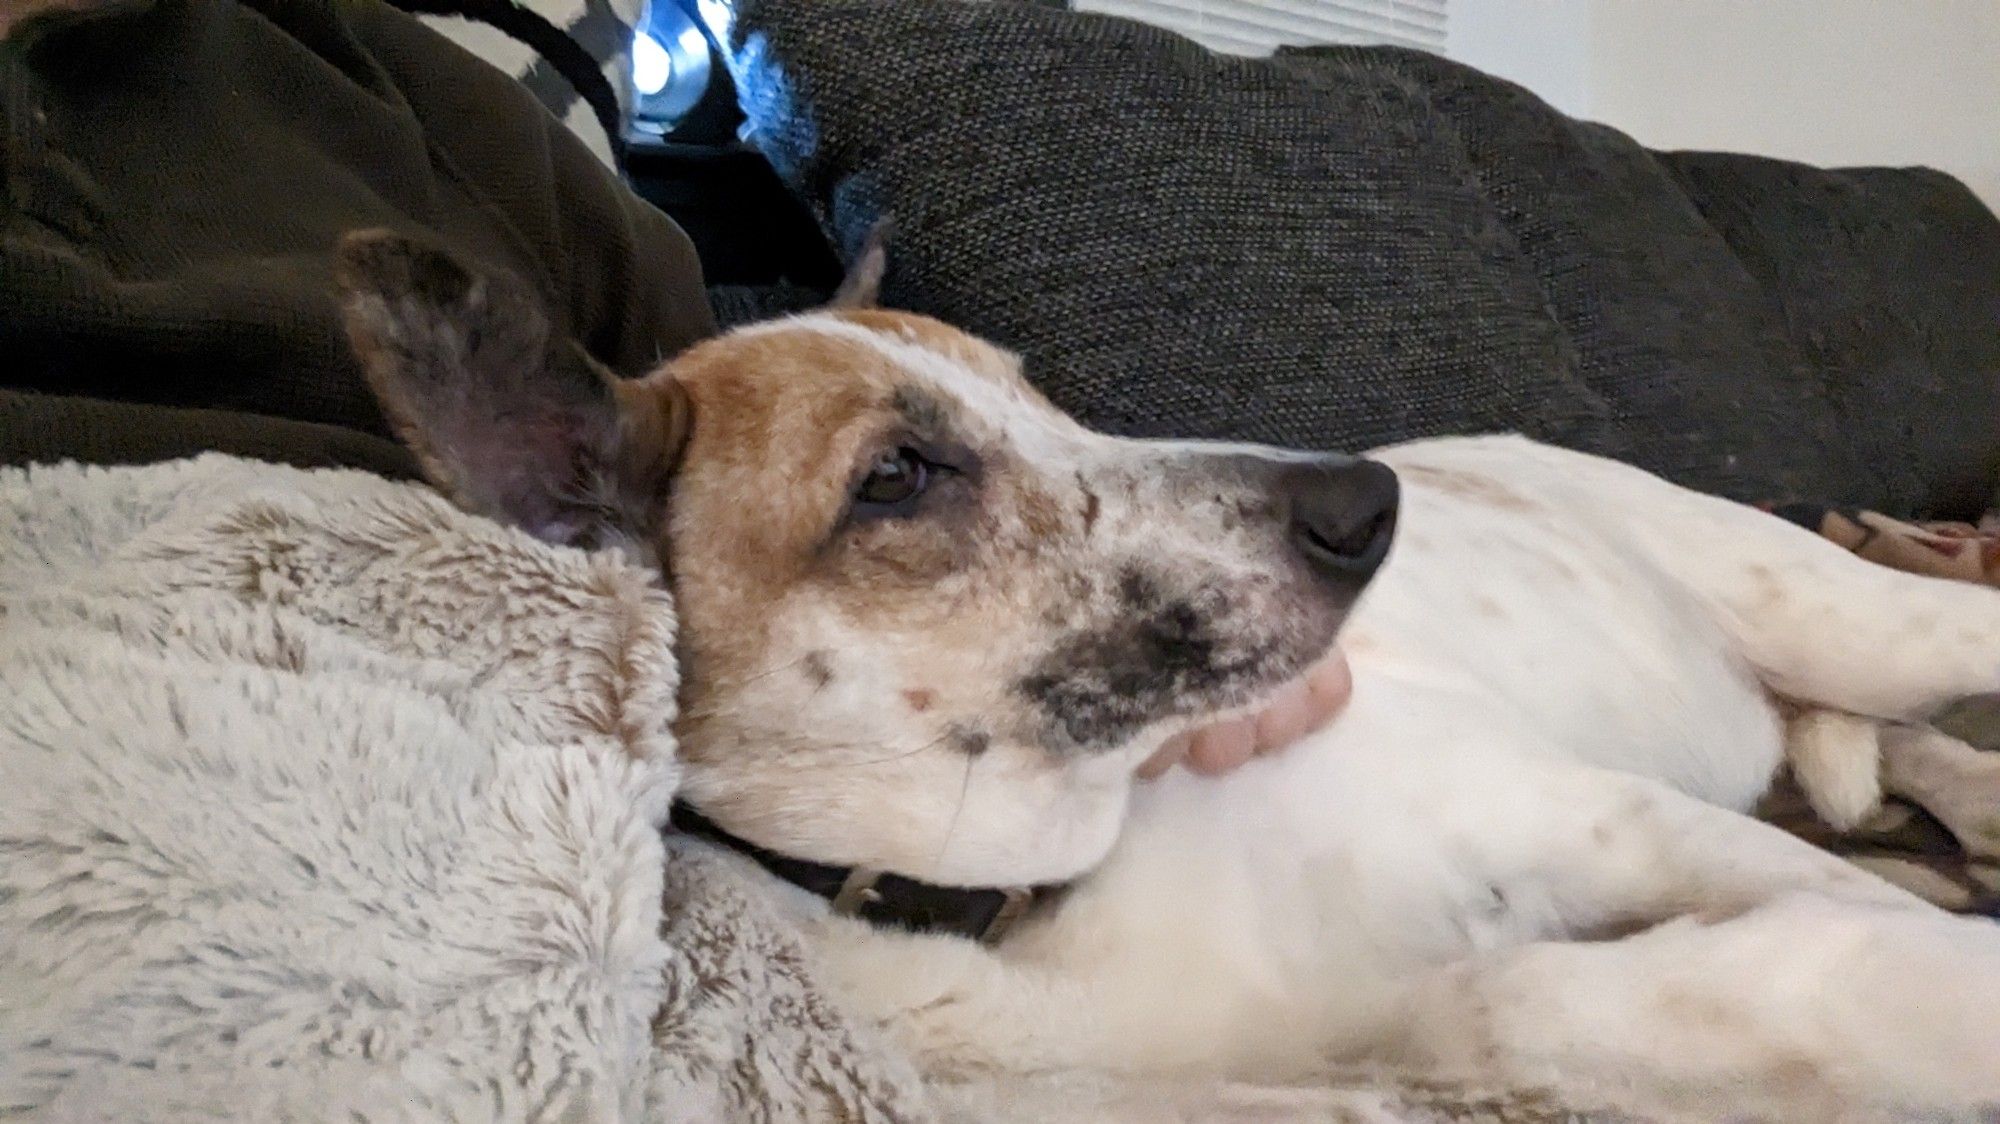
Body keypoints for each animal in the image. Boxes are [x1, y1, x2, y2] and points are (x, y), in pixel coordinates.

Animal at [336, 230, 2000, 1120]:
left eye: (1039, 391)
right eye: (896, 478)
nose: (1368, 505)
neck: (1043, 892)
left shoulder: (1618, 822)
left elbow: (1831, 925)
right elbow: (1486, 1006)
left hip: (1863, 624)